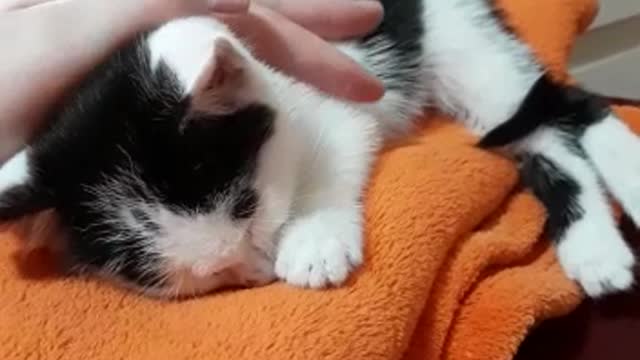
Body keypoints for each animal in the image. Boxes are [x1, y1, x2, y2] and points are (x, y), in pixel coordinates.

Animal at [1, 0, 640, 298]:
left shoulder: (339, 88)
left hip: (459, 39)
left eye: (250, 212)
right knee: (546, 135)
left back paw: (627, 179)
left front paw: (313, 240)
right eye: (213, 271)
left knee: (570, 104)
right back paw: (594, 250)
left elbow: (336, 153)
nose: (260, 270)